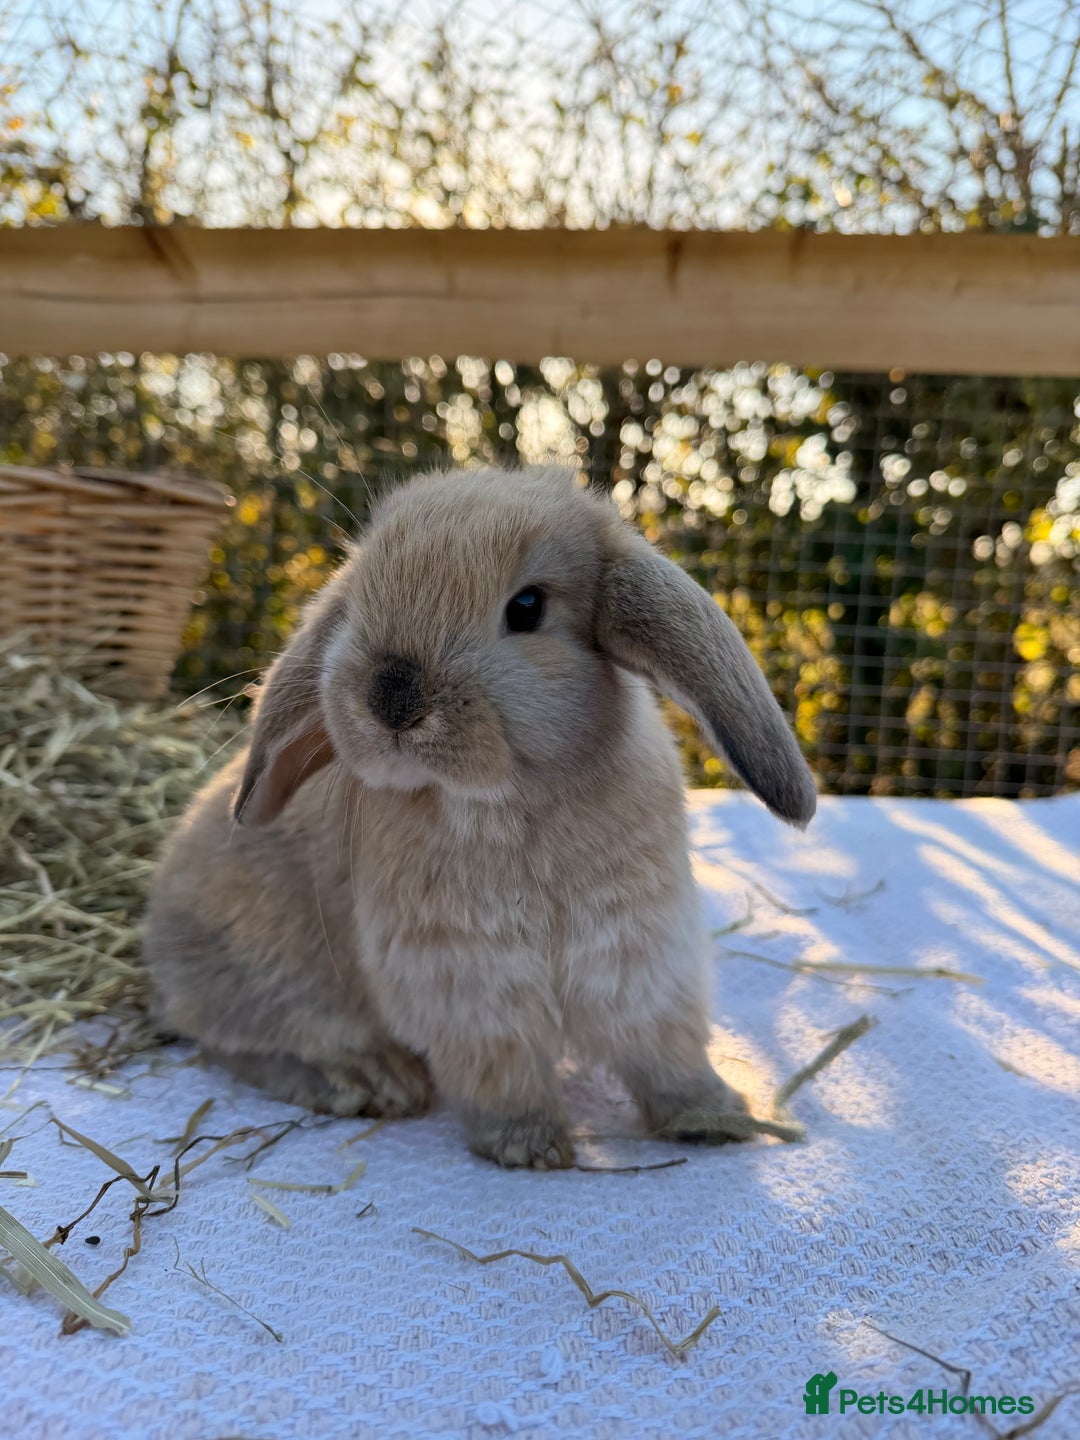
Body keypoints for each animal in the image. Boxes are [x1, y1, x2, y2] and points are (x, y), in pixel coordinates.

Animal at [144, 465, 816, 1168]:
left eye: (527, 608)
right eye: (357, 600)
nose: (391, 698)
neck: (506, 799)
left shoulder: (636, 957)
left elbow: (665, 1050)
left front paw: (718, 1118)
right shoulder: (469, 981)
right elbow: (501, 1067)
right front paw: (529, 1146)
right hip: (273, 981)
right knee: (241, 1045)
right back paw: (368, 1081)